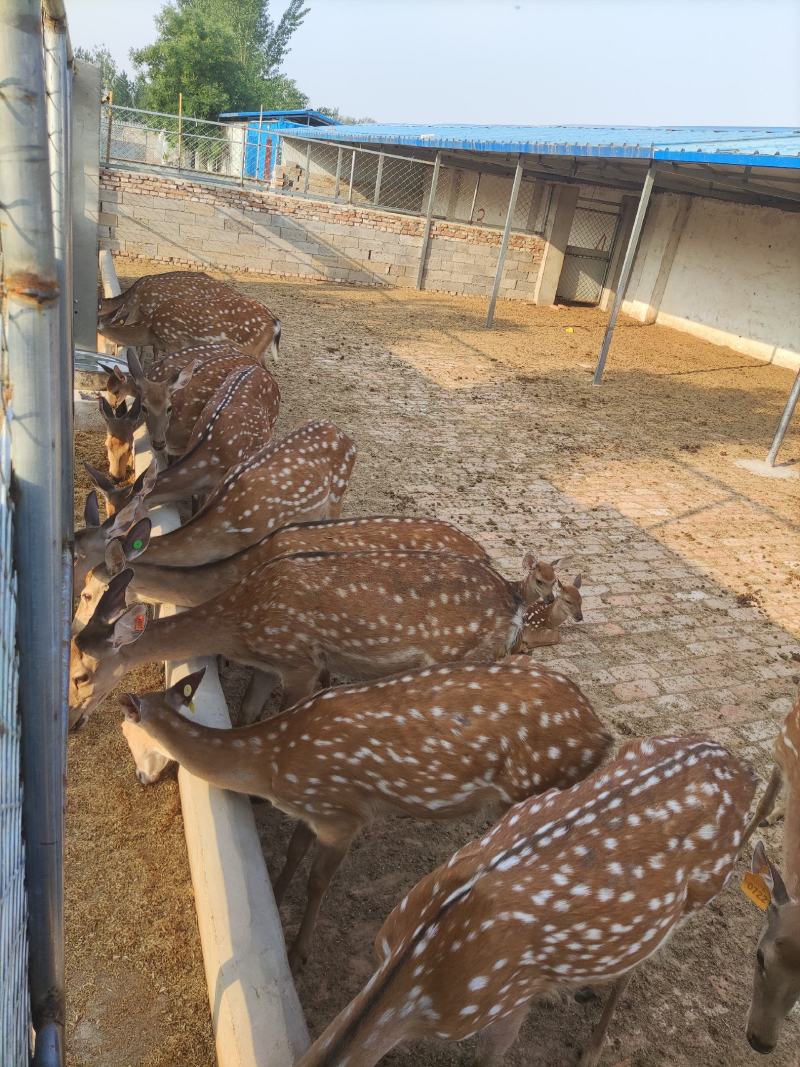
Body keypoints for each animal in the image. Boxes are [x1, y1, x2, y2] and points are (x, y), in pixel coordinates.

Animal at [70, 548, 579, 728]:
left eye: (80, 674)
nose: (72, 721)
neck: (241, 621)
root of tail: (513, 601)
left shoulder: (302, 662)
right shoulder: (270, 663)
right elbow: (249, 713)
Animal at [118, 658, 613, 970]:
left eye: (125, 732)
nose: (141, 779)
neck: (271, 765)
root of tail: (602, 735)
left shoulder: (342, 814)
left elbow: (318, 881)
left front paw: (298, 954)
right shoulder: (310, 811)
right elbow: (293, 853)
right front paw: (275, 899)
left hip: (540, 784)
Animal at [293, 734, 759, 1067]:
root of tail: (739, 762)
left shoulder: (505, 1001)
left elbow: (487, 1059)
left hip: (705, 886)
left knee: (641, 959)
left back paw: (591, 1046)